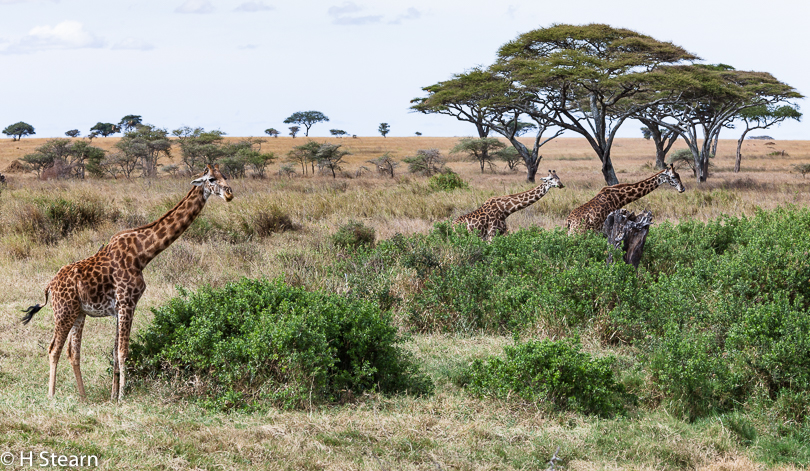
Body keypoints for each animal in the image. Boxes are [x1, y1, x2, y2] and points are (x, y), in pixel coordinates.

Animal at [19, 164, 234, 400]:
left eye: (225, 175)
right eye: (211, 179)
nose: (229, 193)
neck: (142, 254)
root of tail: (49, 286)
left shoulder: (118, 308)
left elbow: (114, 352)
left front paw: (113, 396)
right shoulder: (127, 303)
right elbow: (123, 351)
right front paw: (122, 396)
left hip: (78, 313)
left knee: (72, 352)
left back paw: (83, 397)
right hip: (63, 312)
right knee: (53, 349)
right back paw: (51, 396)